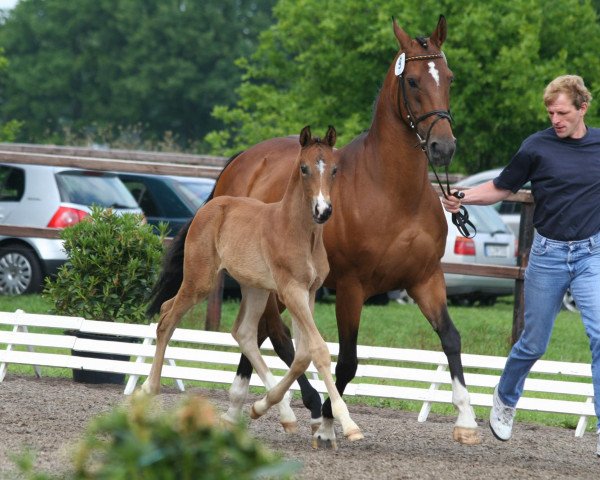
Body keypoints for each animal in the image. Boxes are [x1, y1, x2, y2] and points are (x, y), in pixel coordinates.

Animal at [143, 126, 364, 446]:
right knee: (167, 316)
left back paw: (281, 413)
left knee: (242, 332)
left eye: (334, 169)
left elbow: (303, 354)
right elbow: (318, 350)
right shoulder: (291, 290)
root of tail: (210, 205)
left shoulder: (308, 292)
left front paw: (263, 407)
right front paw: (349, 424)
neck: (298, 232)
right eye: (304, 168)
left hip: (255, 288)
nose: (323, 210)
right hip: (200, 280)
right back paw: (150, 389)